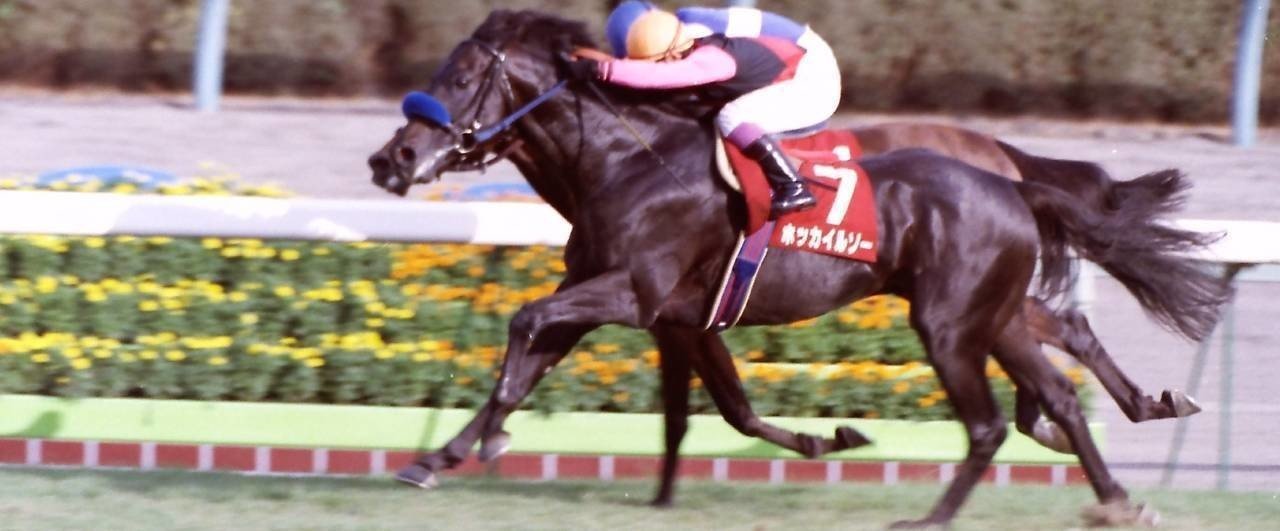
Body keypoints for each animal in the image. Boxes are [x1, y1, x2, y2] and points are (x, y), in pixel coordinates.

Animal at [367, 11, 1230, 527]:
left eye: (462, 77)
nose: (391, 159)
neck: (627, 161)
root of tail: (1009, 177)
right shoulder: (671, 314)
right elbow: (714, 407)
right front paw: (439, 456)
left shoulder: (630, 292)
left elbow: (526, 324)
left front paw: (486, 443)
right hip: (994, 312)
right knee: (1059, 374)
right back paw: (1117, 484)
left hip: (955, 320)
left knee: (1010, 400)